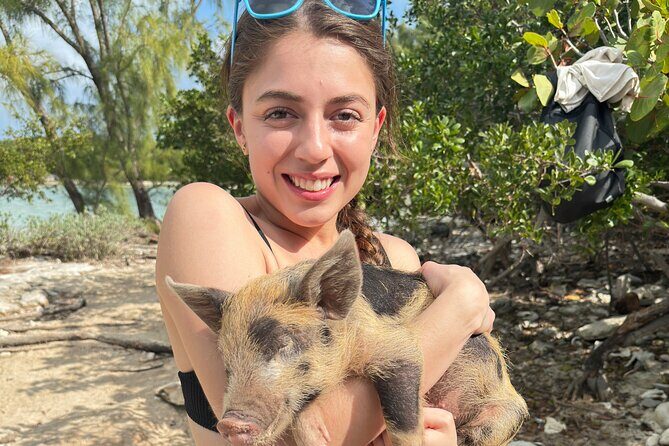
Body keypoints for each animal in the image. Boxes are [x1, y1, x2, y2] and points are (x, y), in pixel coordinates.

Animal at [165, 230, 528, 446]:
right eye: (227, 365)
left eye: (285, 344)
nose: (230, 424)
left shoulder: (396, 347)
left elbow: (402, 421)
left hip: (505, 414)